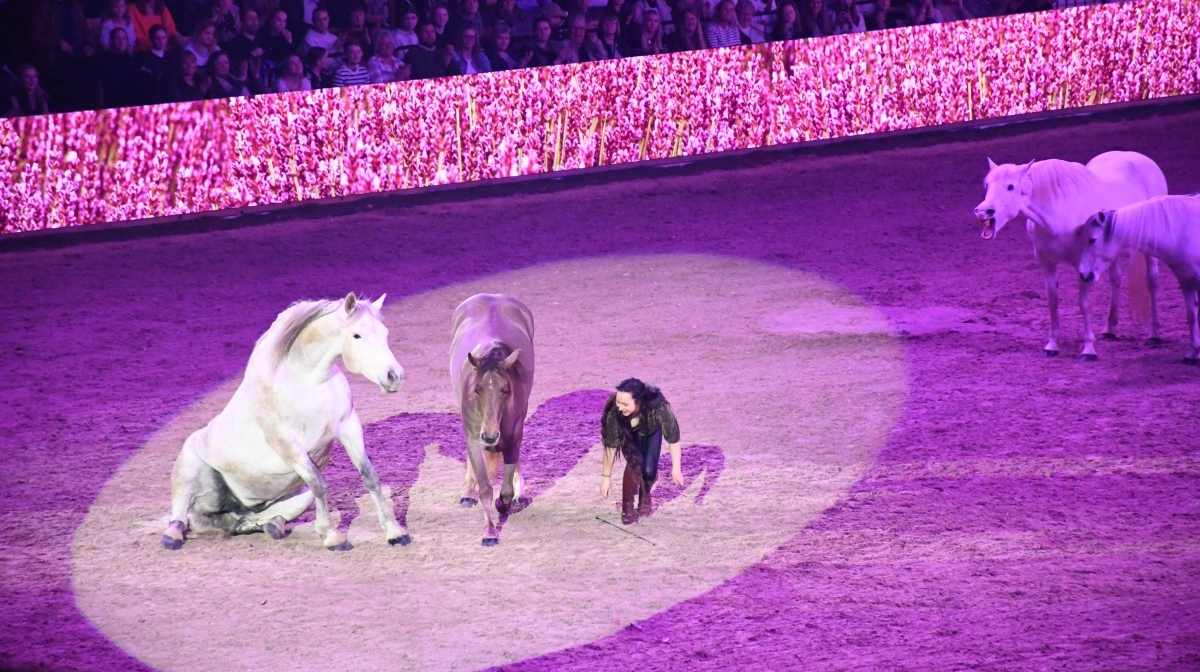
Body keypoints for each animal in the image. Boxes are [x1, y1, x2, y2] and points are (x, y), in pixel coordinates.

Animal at [162, 294, 410, 552]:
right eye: (356, 335)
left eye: (384, 332)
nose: (394, 376)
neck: (307, 382)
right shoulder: (287, 443)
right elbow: (319, 483)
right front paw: (332, 536)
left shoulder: (348, 426)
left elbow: (370, 477)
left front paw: (394, 532)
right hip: (188, 472)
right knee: (181, 515)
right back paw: (173, 535)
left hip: (296, 497)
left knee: (247, 522)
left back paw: (273, 525)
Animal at [451, 294, 535, 547]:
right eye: (477, 389)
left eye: (505, 390)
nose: (489, 435)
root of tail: (492, 296)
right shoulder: (474, 439)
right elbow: (486, 489)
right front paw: (489, 532)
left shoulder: (514, 437)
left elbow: (505, 490)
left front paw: (505, 502)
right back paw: (467, 494)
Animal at [974, 151, 1161, 362]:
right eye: (987, 185)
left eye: (1010, 186)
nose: (983, 212)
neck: (1060, 210)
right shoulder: (1047, 264)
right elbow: (1053, 302)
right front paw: (1052, 346)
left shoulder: (1083, 267)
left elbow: (1084, 304)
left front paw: (1088, 350)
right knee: (1116, 280)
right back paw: (1109, 330)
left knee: (1151, 281)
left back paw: (1154, 335)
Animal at [1080, 192, 1200, 364]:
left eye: (1091, 240)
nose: (1082, 273)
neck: (1184, 231)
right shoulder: (1187, 282)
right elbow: (1191, 316)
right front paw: (1193, 353)